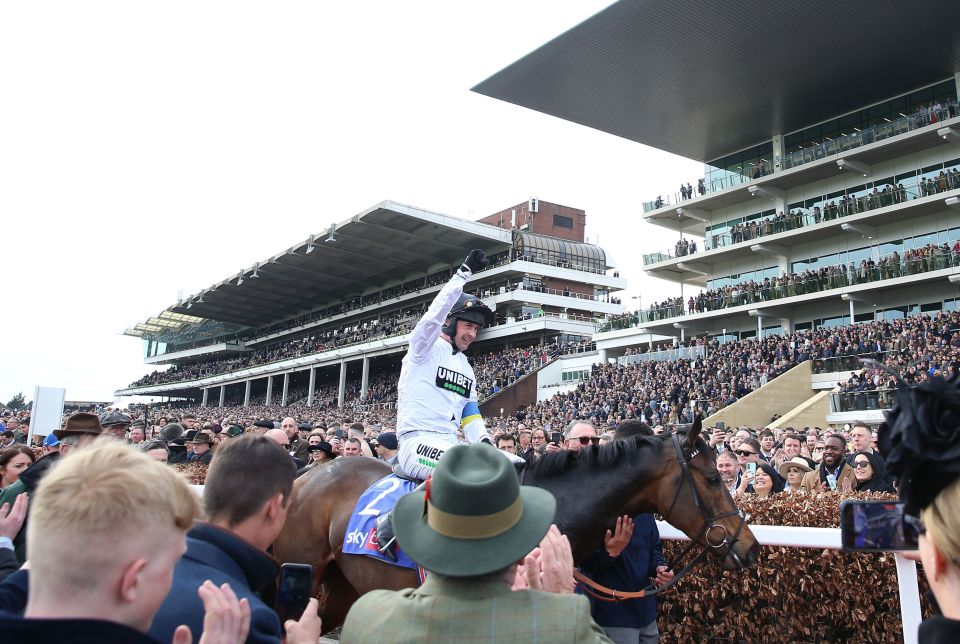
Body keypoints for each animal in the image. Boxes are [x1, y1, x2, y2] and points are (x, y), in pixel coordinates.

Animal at [270, 418, 756, 632]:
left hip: (343, 585)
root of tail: (306, 475)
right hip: (300, 574)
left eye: (723, 472)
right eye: (713, 479)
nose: (749, 547)